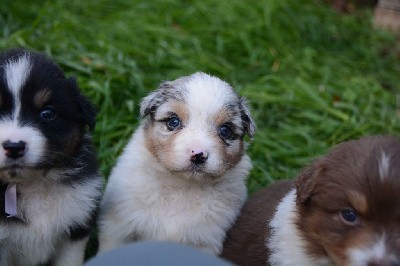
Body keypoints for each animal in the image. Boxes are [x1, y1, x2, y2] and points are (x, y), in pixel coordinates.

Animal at [99, 71, 256, 255]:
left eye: (225, 130)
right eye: (173, 121)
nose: (198, 154)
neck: (182, 186)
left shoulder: (206, 241)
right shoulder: (118, 226)